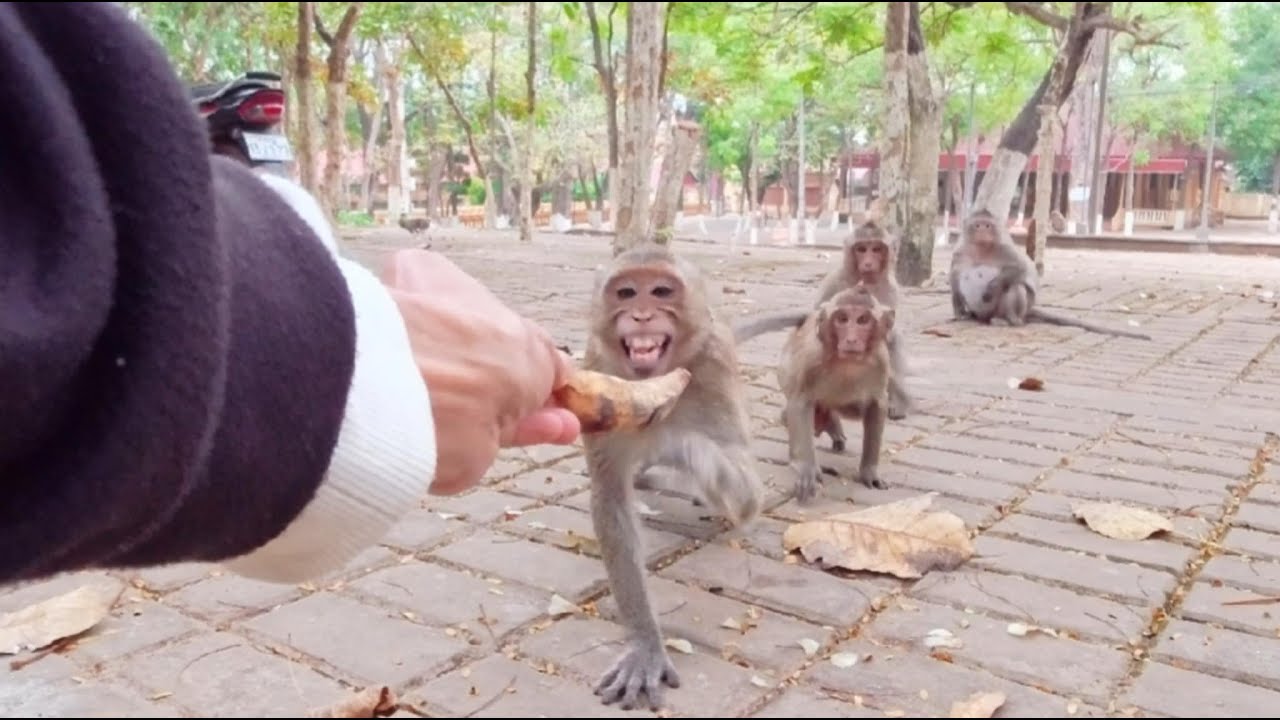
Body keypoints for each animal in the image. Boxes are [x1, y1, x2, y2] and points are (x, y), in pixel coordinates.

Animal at [580, 243, 765, 711]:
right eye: (627, 293)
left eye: (661, 291)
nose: (643, 315)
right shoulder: (598, 373)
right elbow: (611, 498)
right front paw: (645, 643)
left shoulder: (715, 368)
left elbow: (749, 495)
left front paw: (672, 440)